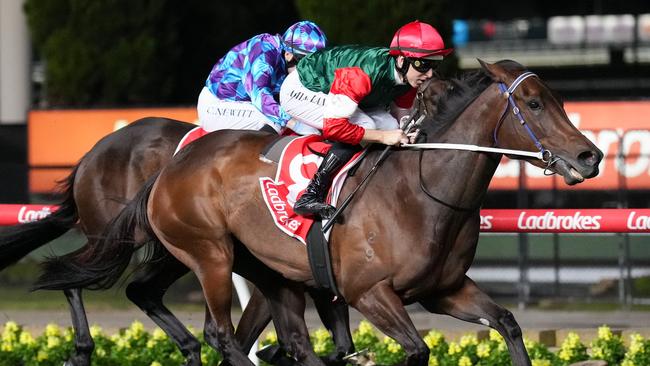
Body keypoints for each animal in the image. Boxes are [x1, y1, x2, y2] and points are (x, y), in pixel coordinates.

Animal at [0, 118, 354, 364]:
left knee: (139, 289)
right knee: (75, 274)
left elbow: (340, 343)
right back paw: (82, 350)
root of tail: (92, 153)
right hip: (119, 236)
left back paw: (189, 348)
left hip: (174, 251)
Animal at [96, 60, 604, 366]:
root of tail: (172, 165)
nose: (590, 156)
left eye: (558, 100)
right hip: (210, 256)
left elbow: (507, 323)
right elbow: (417, 349)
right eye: (534, 104)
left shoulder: (445, 289)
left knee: (277, 340)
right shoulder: (369, 292)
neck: (422, 194)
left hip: (269, 273)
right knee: (222, 336)